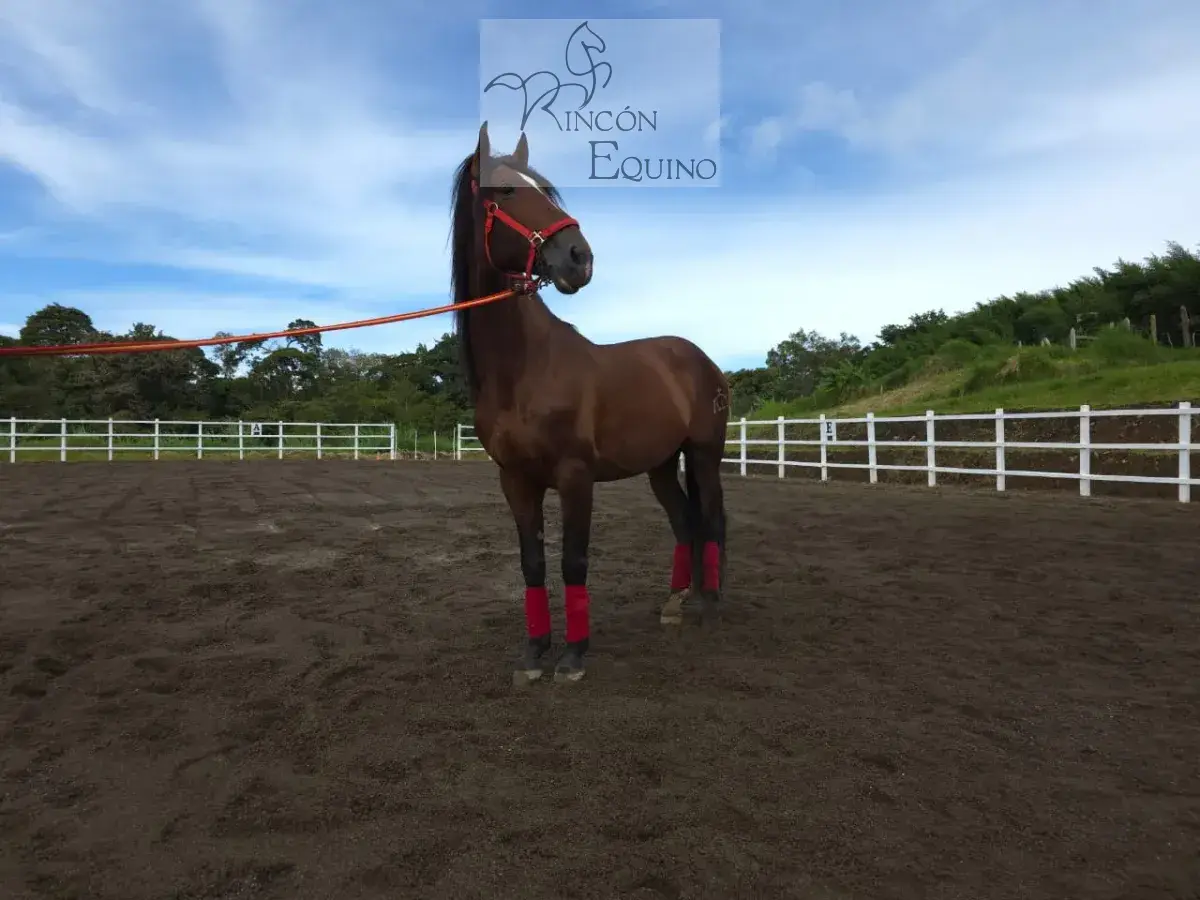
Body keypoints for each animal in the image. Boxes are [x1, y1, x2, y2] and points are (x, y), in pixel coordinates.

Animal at [450, 121, 730, 685]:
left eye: (546, 189)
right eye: (504, 190)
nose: (580, 258)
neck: (525, 368)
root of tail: (700, 359)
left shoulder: (576, 476)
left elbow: (573, 561)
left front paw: (574, 656)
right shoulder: (515, 480)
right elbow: (532, 564)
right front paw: (534, 652)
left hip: (704, 454)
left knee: (710, 520)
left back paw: (709, 608)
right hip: (661, 466)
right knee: (685, 522)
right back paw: (677, 603)